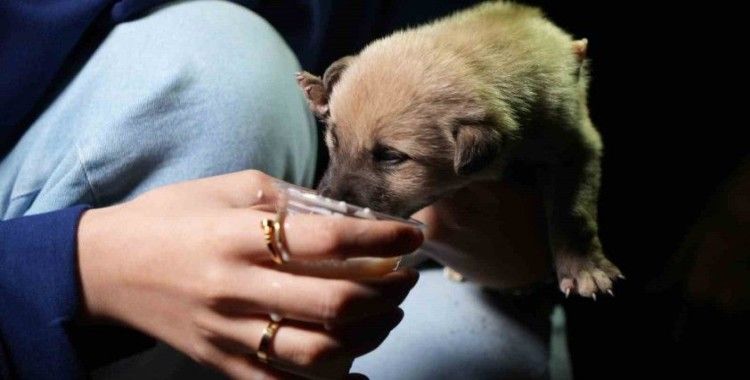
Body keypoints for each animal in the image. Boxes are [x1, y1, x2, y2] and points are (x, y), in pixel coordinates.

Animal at [298, 1, 624, 298]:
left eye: (391, 157)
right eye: (335, 140)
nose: (327, 200)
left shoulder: (574, 145)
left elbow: (574, 211)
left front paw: (585, 268)